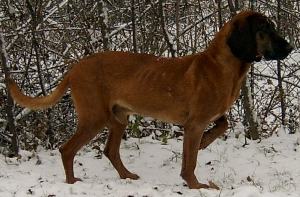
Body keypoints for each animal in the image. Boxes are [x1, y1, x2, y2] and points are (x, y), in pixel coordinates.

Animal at [7, 11, 292, 189]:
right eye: (264, 29)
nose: (290, 48)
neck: (223, 65)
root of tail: (74, 69)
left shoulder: (208, 119)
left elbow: (223, 125)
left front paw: (204, 145)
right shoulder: (194, 124)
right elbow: (190, 161)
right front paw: (196, 184)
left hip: (118, 117)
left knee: (110, 151)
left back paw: (126, 176)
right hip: (94, 117)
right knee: (67, 149)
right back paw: (71, 183)